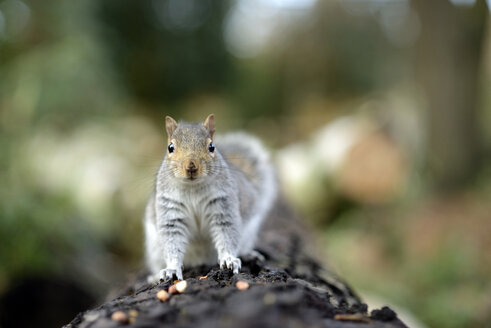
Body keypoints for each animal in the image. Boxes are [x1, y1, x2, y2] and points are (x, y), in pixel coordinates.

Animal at [145, 114, 276, 280]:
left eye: (212, 147)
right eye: (170, 147)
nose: (191, 166)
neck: (193, 188)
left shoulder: (223, 205)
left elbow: (227, 233)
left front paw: (229, 259)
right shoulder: (171, 211)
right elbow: (172, 241)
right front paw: (172, 268)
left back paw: (248, 255)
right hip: (154, 248)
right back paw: (155, 277)